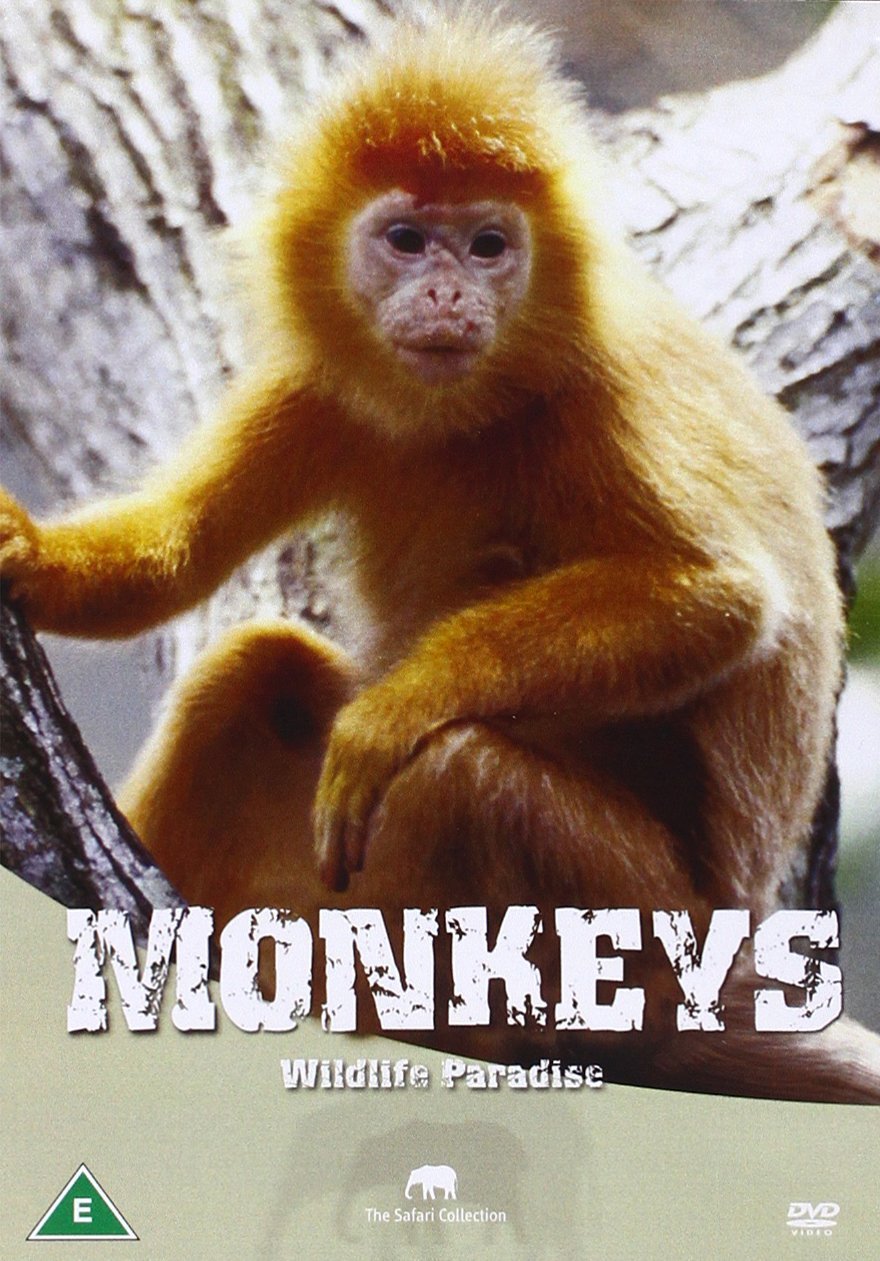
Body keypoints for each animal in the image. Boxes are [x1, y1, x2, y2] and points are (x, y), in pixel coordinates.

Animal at [1, 10, 878, 1101]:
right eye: (408, 239)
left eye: (490, 244)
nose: (450, 291)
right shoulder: (317, 385)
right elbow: (181, 546)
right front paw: (26, 552)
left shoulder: (600, 389)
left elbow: (719, 599)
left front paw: (395, 707)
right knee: (260, 671)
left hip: (647, 928)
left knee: (461, 769)